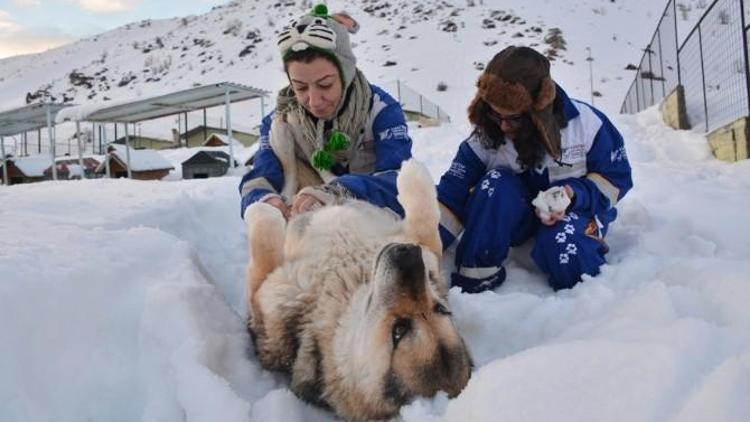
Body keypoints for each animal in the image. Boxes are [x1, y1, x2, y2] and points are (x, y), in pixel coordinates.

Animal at [245, 160, 470, 420]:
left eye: (399, 331)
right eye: (442, 309)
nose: (408, 253)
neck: (352, 283)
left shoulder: (266, 302)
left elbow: (264, 249)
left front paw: (261, 212)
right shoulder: (425, 251)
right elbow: (427, 225)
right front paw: (414, 175)